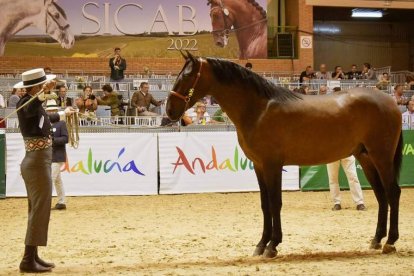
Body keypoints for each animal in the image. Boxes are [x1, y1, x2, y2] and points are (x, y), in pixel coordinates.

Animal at [167, 51, 402, 258]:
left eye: (187, 76)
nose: (169, 110)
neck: (258, 109)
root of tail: (390, 101)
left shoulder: (272, 165)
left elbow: (275, 203)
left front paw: (272, 245)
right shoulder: (259, 166)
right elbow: (265, 205)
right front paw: (261, 244)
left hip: (381, 157)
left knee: (392, 193)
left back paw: (390, 242)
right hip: (366, 157)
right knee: (381, 195)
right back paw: (376, 240)